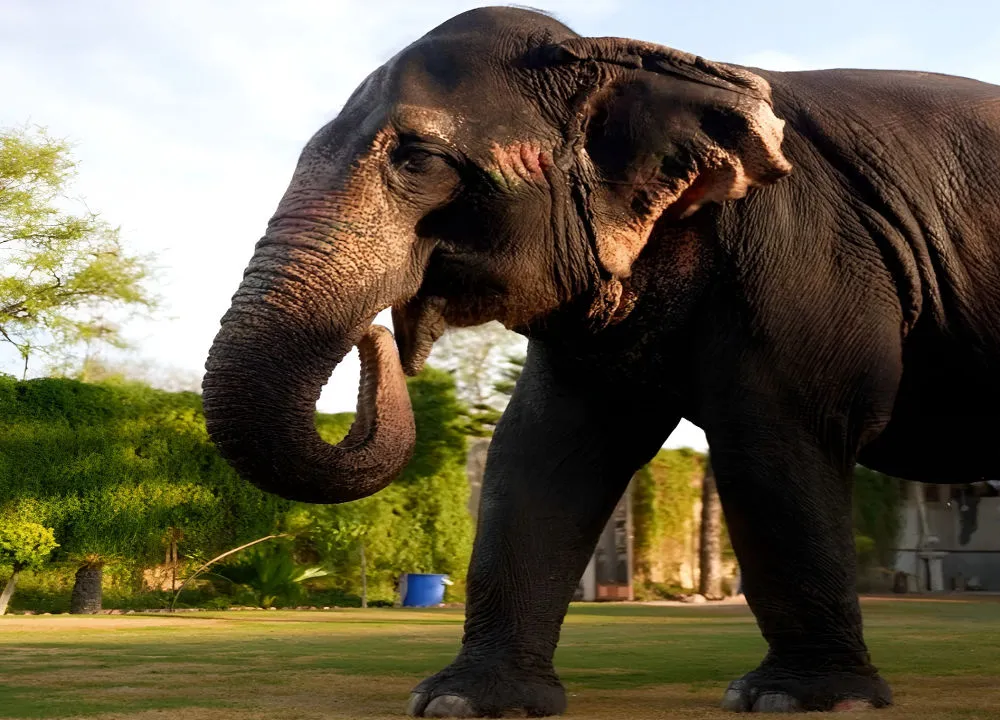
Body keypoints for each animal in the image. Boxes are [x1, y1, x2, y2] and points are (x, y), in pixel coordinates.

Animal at [202, 6, 1000, 716]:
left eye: (419, 160)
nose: (378, 335)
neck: (624, 55)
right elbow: (543, 449)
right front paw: (465, 702)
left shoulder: (804, 248)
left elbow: (776, 435)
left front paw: (795, 700)